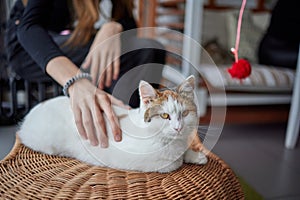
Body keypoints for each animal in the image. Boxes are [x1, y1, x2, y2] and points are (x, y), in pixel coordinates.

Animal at [18, 76, 206, 173]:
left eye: (185, 113)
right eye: (165, 115)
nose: (178, 128)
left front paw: (195, 155)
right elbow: (172, 163)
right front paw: (182, 158)